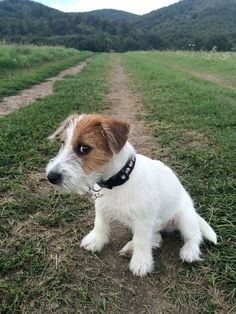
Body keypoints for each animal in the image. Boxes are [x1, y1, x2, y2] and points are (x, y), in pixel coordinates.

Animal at [46, 114, 218, 276]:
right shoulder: (101, 206)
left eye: (84, 149)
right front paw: (96, 240)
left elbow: (142, 242)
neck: (118, 181)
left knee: (193, 236)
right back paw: (131, 247)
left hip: (185, 218)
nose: (51, 177)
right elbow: (99, 223)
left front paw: (141, 262)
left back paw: (189, 252)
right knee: (156, 238)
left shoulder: (143, 221)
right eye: (63, 143)